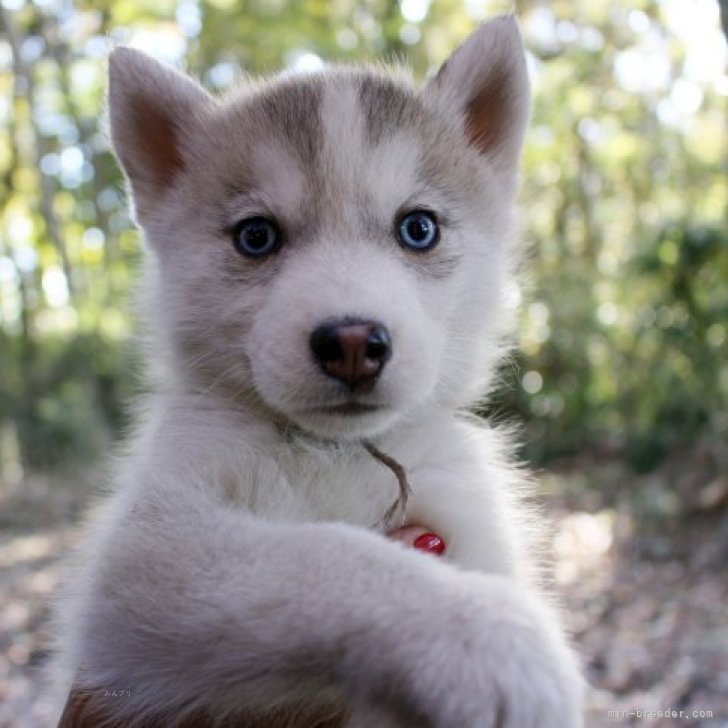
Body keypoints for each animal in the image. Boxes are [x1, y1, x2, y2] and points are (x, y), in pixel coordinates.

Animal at [49, 12, 584, 728]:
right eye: (256, 237)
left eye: (418, 229)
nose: (352, 341)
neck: (335, 454)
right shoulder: (139, 557)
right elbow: (319, 552)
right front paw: (482, 634)